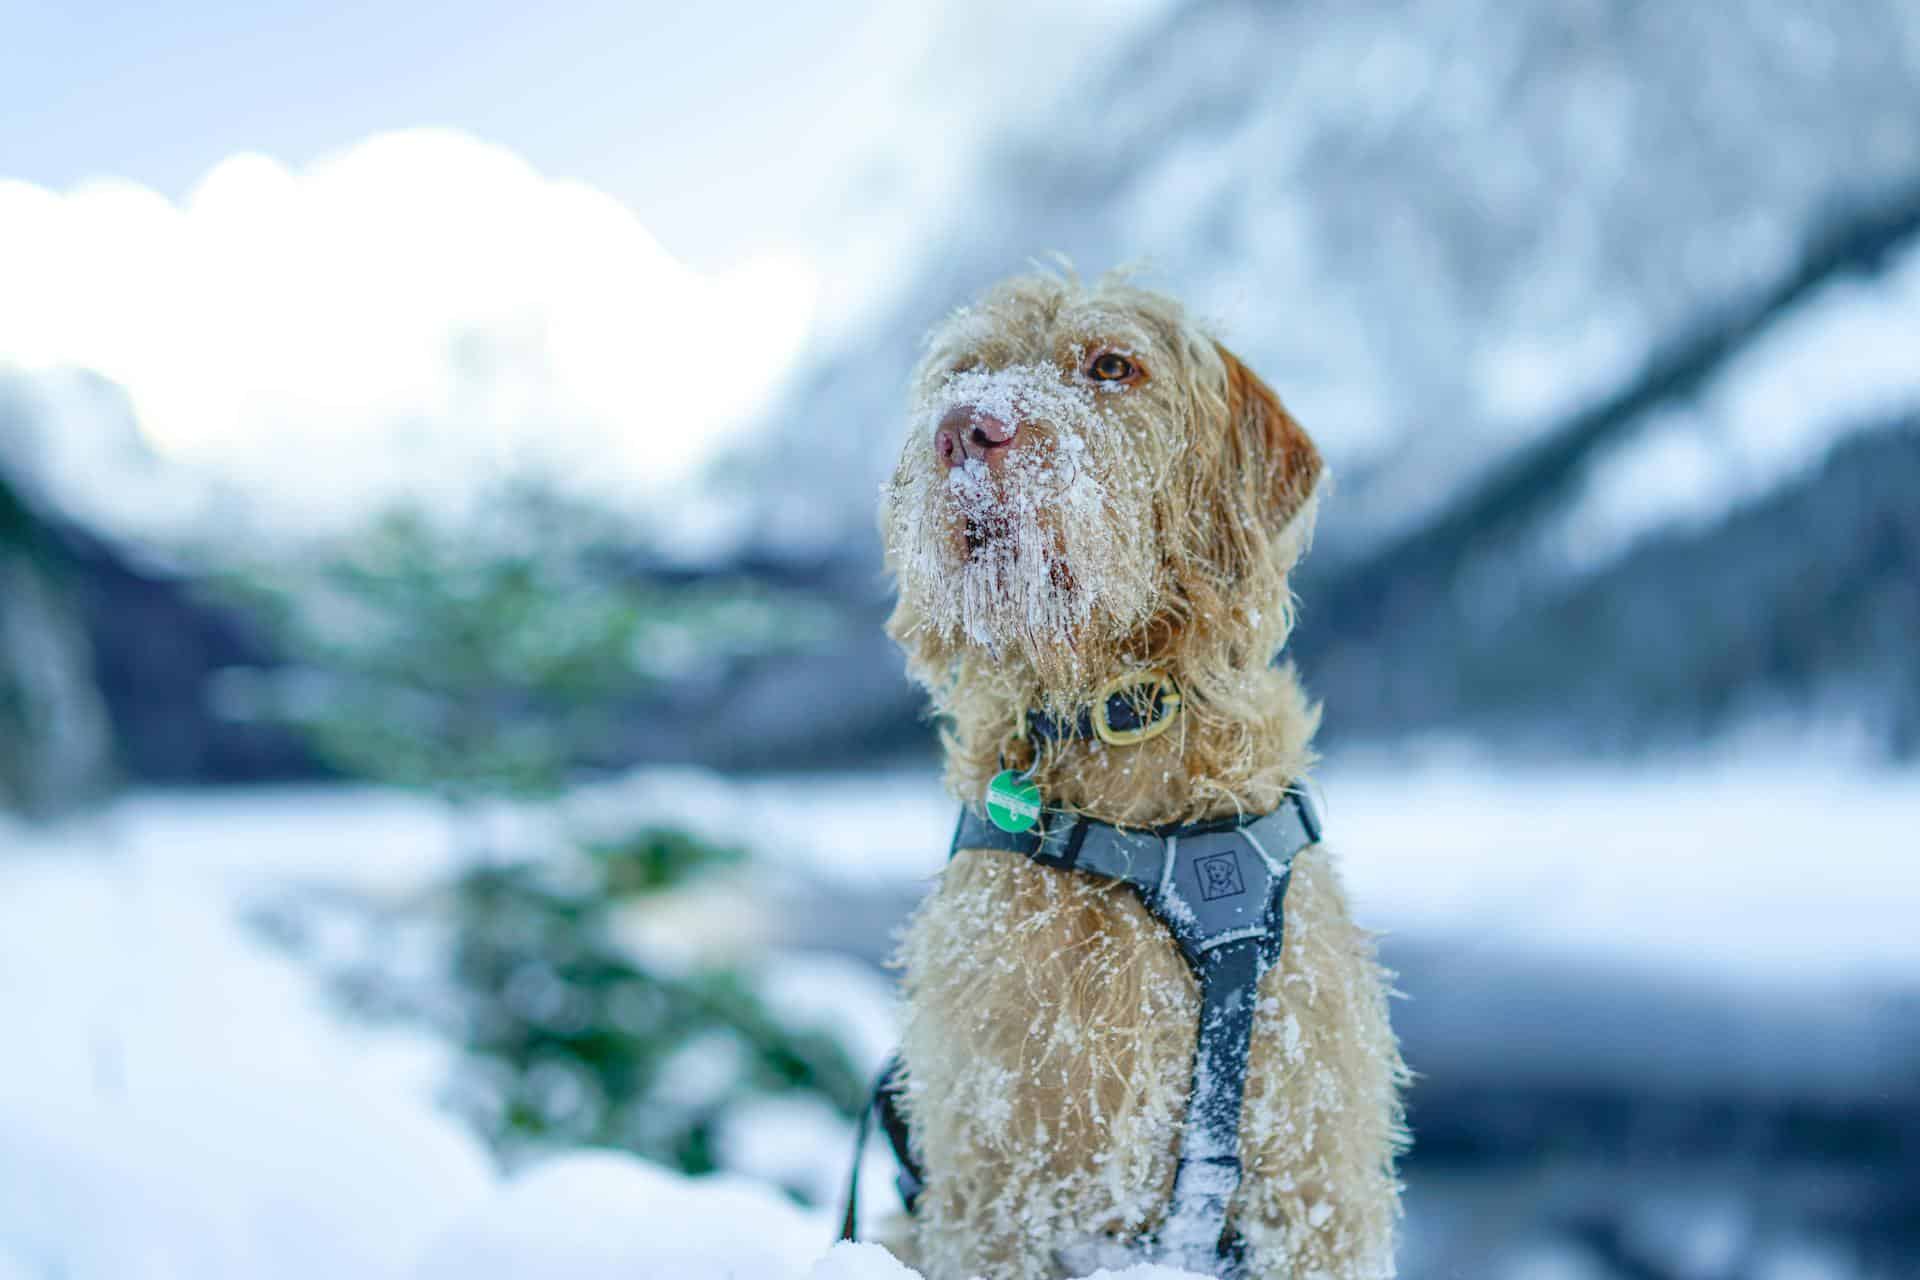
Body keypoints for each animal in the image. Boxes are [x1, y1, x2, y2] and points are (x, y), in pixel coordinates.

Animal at [879, 272, 1405, 1280]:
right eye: (964, 371)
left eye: (1113, 366)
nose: (964, 429)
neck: (1123, 716)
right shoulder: (995, 1180)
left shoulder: (1314, 1177)